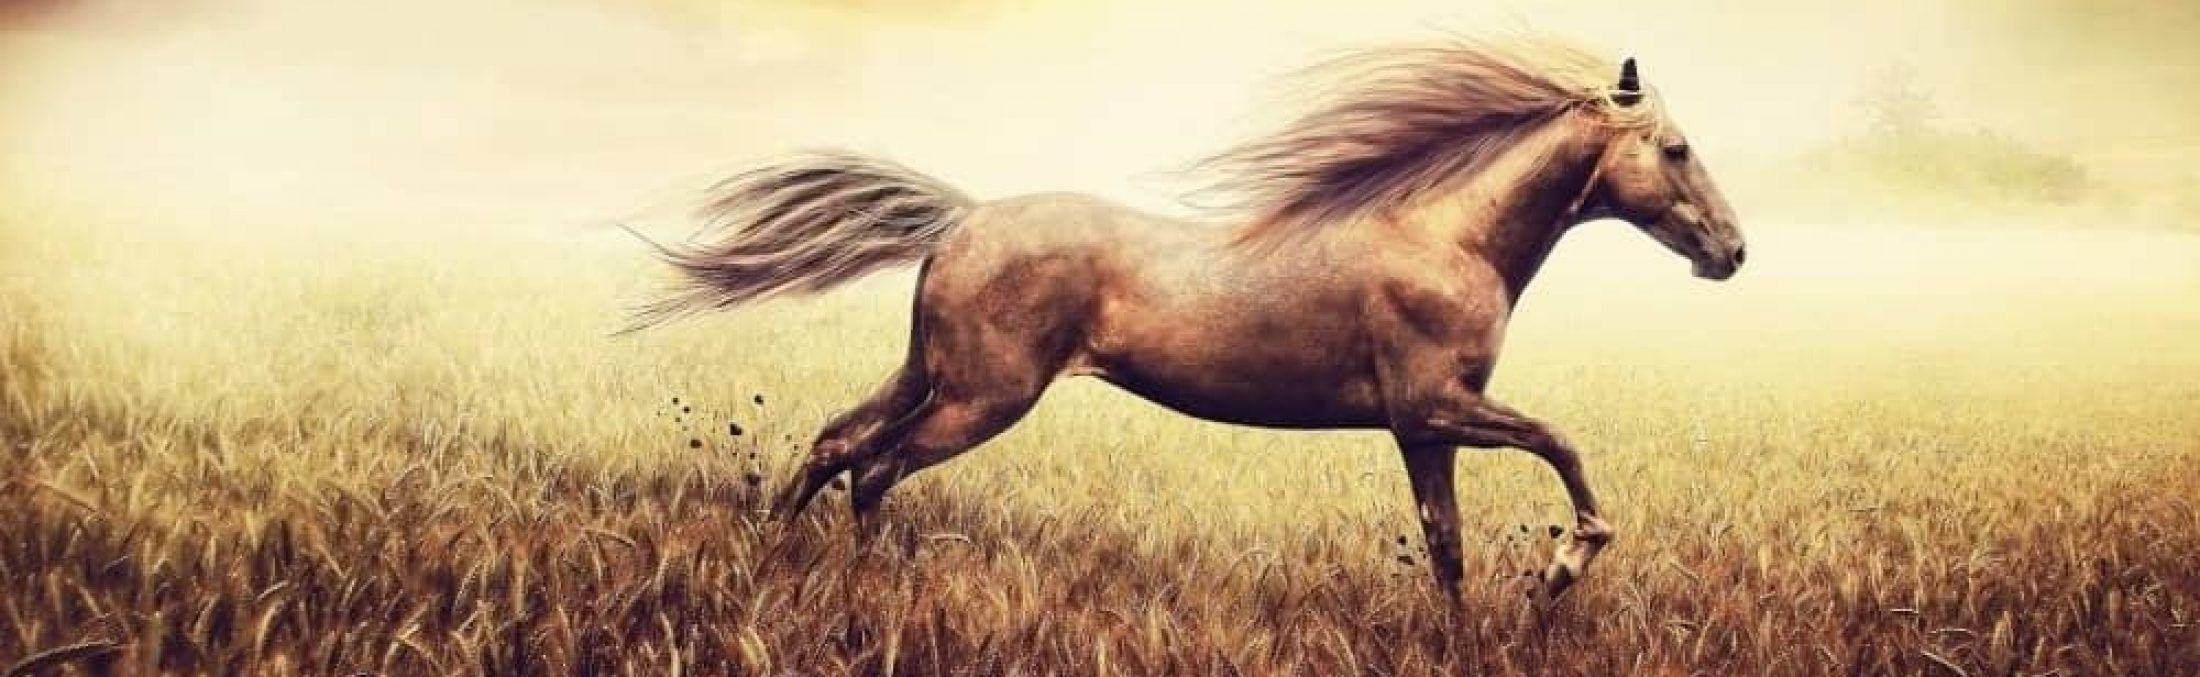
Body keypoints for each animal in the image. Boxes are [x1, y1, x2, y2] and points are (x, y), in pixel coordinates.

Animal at [626, 36, 1745, 605]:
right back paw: (871, 589)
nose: (1732, 253)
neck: (1445, 237)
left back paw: (777, 556)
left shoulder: (1424, 428)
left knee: (834, 441)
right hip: (983, 396)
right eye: (1677, 148)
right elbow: (1564, 445)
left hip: (930, 373)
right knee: (877, 466)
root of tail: (961, 219)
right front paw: (1561, 567)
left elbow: (1447, 548)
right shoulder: (1438, 405)